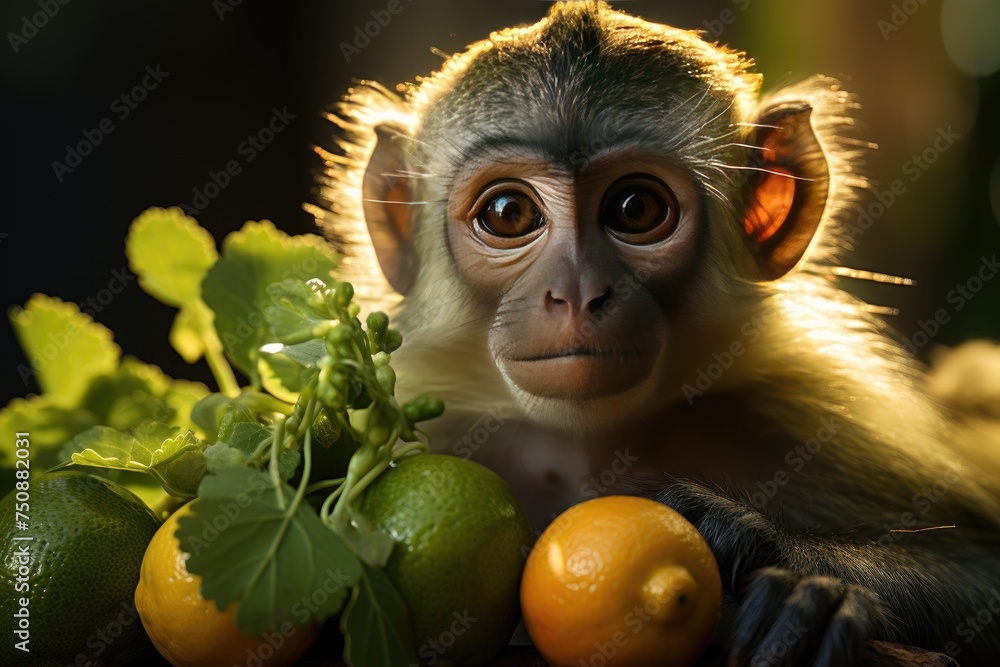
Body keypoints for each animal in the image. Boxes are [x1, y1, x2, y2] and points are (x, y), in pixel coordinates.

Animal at [311, 2, 1000, 665]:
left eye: (635, 208)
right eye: (509, 213)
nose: (578, 291)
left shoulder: (808, 413)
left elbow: (984, 567)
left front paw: (795, 575)